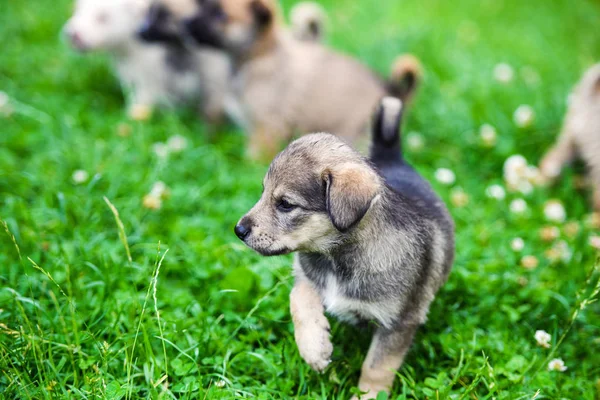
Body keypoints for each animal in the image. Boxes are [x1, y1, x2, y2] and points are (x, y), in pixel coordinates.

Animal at [63, 0, 227, 120]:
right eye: (77, 11)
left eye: (103, 17)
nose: (73, 35)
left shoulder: (150, 73)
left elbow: (145, 98)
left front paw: (134, 116)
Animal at [183, 0, 422, 161]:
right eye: (203, 6)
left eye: (221, 15)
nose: (186, 23)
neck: (260, 55)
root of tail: (392, 91)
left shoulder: (266, 128)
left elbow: (257, 157)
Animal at [234, 97, 454, 400]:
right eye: (263, 192)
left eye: (286, 204)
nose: (239, 230)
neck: (336, 257)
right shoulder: (306, 274)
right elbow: (298, 300)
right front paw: (315, 349)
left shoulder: (399, 322)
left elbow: (377, 366)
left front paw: (369, 395)